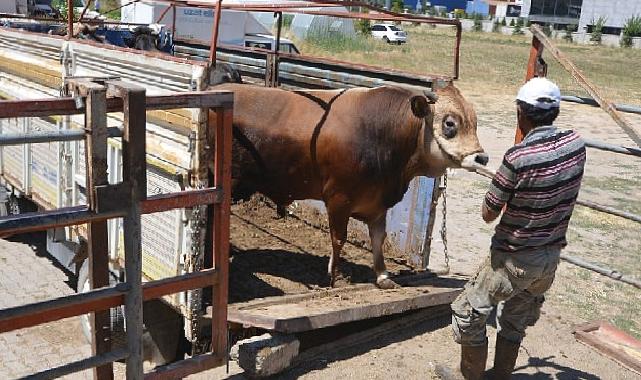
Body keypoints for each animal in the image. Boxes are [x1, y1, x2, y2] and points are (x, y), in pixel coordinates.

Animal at [210, 81, 484, 286]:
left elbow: (378, 238)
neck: (380, 132)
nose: (482, 157)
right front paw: (336, 277)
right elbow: (338, 239)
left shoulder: (378, 203)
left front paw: (383, 276)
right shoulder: (338, 199)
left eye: (474, 121)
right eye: (450, 123)